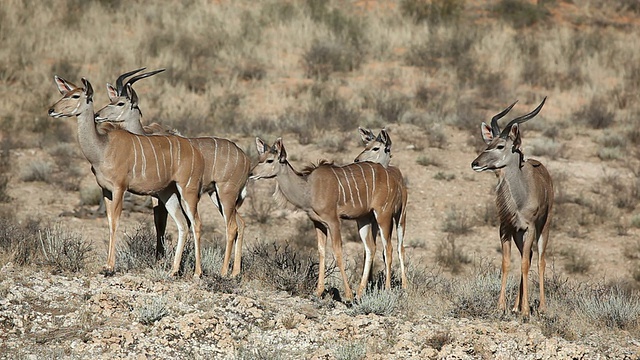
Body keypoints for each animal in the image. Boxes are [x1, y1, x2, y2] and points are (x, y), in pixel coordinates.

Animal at [50, 76, 205, 278]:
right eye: (64, 93)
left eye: (76, 95)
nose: (51, 110)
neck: (102, 148)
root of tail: (196, 152)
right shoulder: (106, 190)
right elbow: (109, 222)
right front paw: (106, 265)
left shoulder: (120, 188)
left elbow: (116, 221)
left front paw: (110, 267)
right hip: (168, 194)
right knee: (182, 224)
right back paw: (173, 270)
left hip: (188, 191)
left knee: (196, 223)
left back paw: (197, 273)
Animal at [95, 68, 250, 276]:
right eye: (111, 99)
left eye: (121, 102)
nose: (98, 115)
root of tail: (245, 159)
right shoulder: (162, 196)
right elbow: (164, 223)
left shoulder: (164, 195)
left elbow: (167, 223)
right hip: (218, 197)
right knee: (240, 223)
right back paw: (235, 272)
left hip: (225, 194)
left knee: (231, 227)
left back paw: (223, 271)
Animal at [249, 138, 402, 300]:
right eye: (259, 158)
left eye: (269, 160)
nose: (251, 174)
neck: (309, 189)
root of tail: (392, 179)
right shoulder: (318, 223)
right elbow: (321, 251)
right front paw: (318, 291)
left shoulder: (333, 221)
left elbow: (337, 252)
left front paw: (348, 295)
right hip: (363, 219)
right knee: (371, 248)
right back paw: (360, 292)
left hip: (383, 214)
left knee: (388, 249)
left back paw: (386, 290)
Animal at [352, 126, 408, 290]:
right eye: (366, 145)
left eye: (376, 147)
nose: (357, 160)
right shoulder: (372, 220)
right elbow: (370, 250)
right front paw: (368, 283)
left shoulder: (389, 217)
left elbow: (389, 249)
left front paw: (387, 287)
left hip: (399, 218)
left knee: (398, 248)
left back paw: (403, 285)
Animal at [470, 97, 556, 316]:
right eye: (488, 143)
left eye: (500, 145)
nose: (475, 163)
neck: (518, 200)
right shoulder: (506, 228)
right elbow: (507, 263)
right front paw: (501, 307)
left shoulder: (530, 227)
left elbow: (525, 263)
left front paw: (526, 311)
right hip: (519, 234)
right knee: (530, 256)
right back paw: (516, 306)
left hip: (544, 227)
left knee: (540, 259)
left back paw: (541, 307)